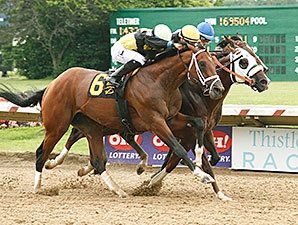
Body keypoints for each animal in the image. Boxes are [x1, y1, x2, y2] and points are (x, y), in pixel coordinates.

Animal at [0, 44, 225, 197]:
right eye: (202, 63)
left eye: (215, 64)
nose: (218, 88)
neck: (159, 81)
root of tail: (52, 84)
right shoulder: (155, 121)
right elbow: (178, 148)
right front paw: (203, 175)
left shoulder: (171, 117)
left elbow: (198, 123)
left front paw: (199, 155)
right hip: (57, 125)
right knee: (42, 152)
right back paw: (38, 186)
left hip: (91, 127)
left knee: (98, 160)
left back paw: (117, 189)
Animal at [44, 37, 270, 200]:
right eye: (243, 61)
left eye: (255, 55)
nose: (264, 81)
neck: (197, 92)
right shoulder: (179, 130)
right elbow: (178, 158)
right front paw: (152, 183)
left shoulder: (200, 128)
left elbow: (210, 156)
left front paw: (220, 193)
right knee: (75, 134)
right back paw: (55, 162)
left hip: (109, 122)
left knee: (101, 137)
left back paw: (88, 167)